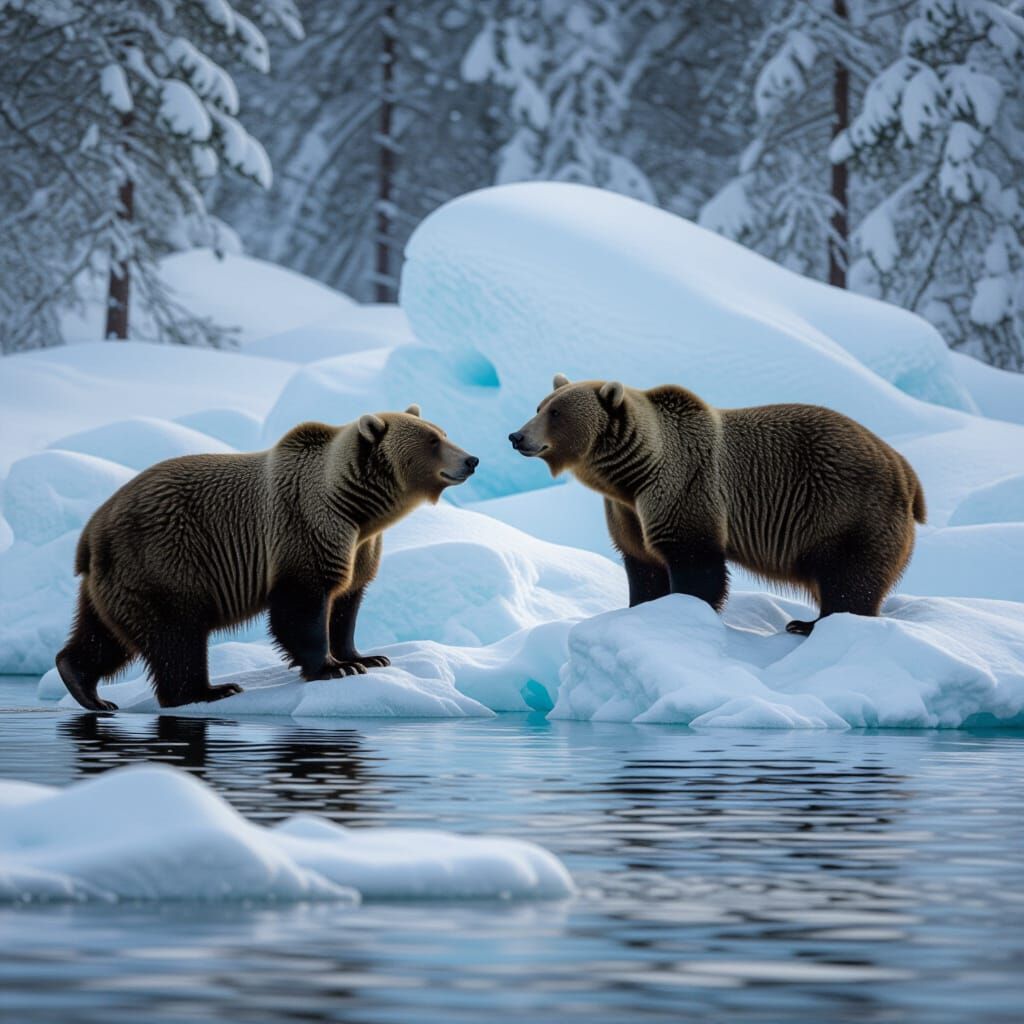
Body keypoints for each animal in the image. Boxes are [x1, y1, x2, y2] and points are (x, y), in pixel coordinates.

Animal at [56, 407, 478, 711]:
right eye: (432, 440)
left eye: (442, 432)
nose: (471, 459)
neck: (354, 508)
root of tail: (90, 535)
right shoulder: (304, 529)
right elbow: (301, 608)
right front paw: (333, 667)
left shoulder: (360, 548)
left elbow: (347, 602)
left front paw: (367, 657)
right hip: (165, 562)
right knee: (177, 636)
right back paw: (209, 690)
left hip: (116, 582)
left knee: (105, 636)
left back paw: (84, 685)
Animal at [509, 375, 925, 635]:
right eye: (540, 406)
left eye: (556, 412)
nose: (517, 435)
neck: (634, 474)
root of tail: (905, 470)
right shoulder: (627, 513)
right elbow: (642, 564)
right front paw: (639, 608)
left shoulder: (686, 488)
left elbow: (696, 565)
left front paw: (683, 609)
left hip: (846, 513)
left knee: (850, 579)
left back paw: (807, 624)